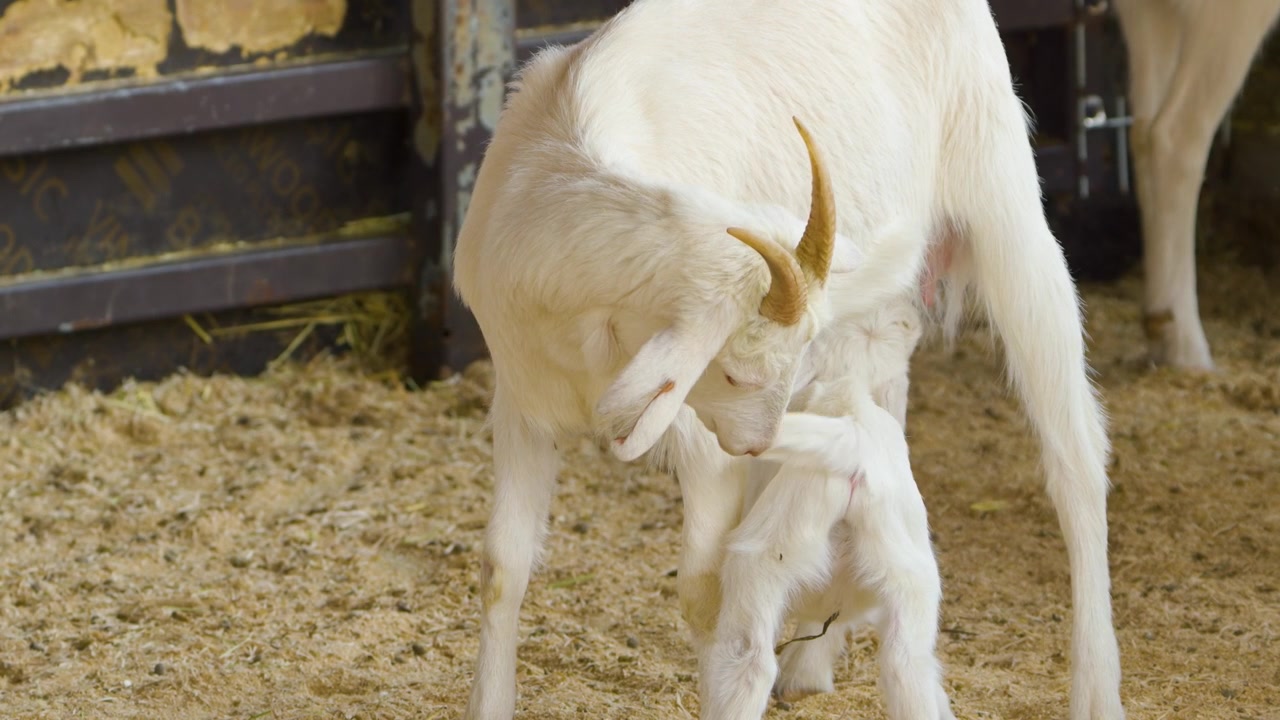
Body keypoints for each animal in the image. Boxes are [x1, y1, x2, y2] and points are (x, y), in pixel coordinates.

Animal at [1113, 0, 1280, 369]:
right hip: (1233, 15)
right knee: (1175, 136)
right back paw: (1186, 346)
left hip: (1147, 13)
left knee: (1143, 131)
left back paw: (1159, 329)